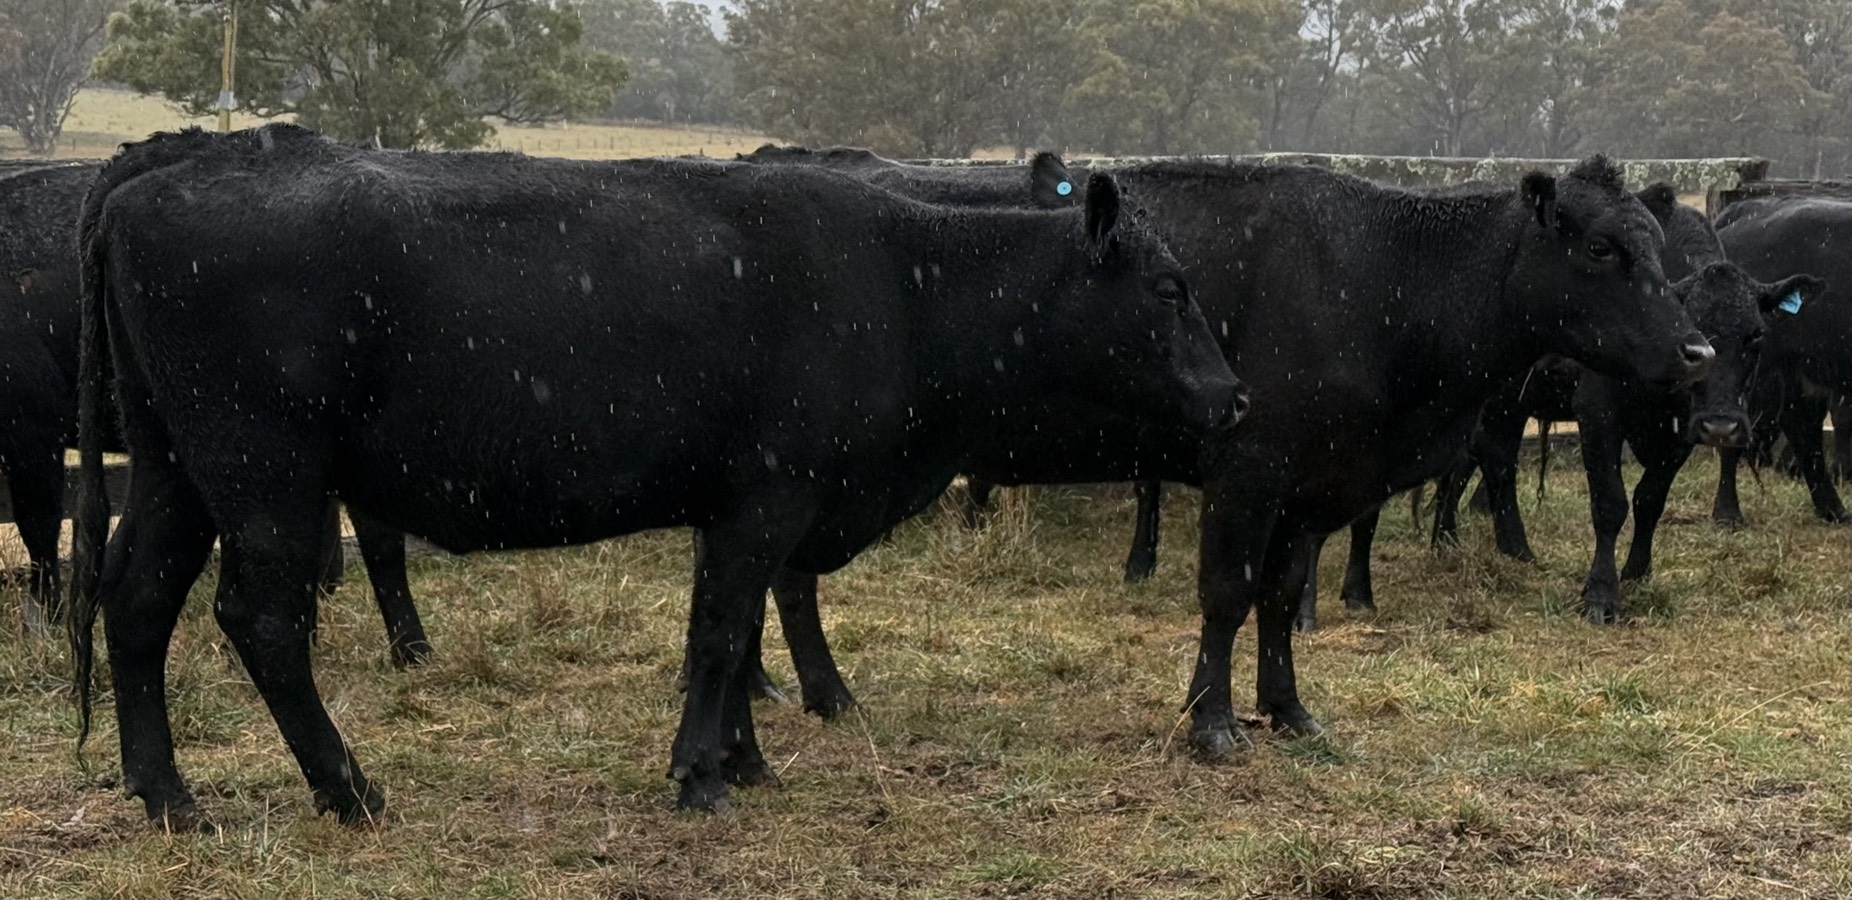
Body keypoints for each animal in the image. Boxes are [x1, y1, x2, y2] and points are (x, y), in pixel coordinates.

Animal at [68, 125, 1241, 825]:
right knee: (260, 620)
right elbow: (721, 631)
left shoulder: (742, 507)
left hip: (176, 469)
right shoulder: (771, 494)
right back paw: (349, 788)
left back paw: (166, 795)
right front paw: (702, 775)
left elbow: (729, 631)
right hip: (261, 470)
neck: (907, 286)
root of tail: (151, 181)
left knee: (136, 601)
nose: (1234, 396)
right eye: (1170, 289)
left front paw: (742, 758)